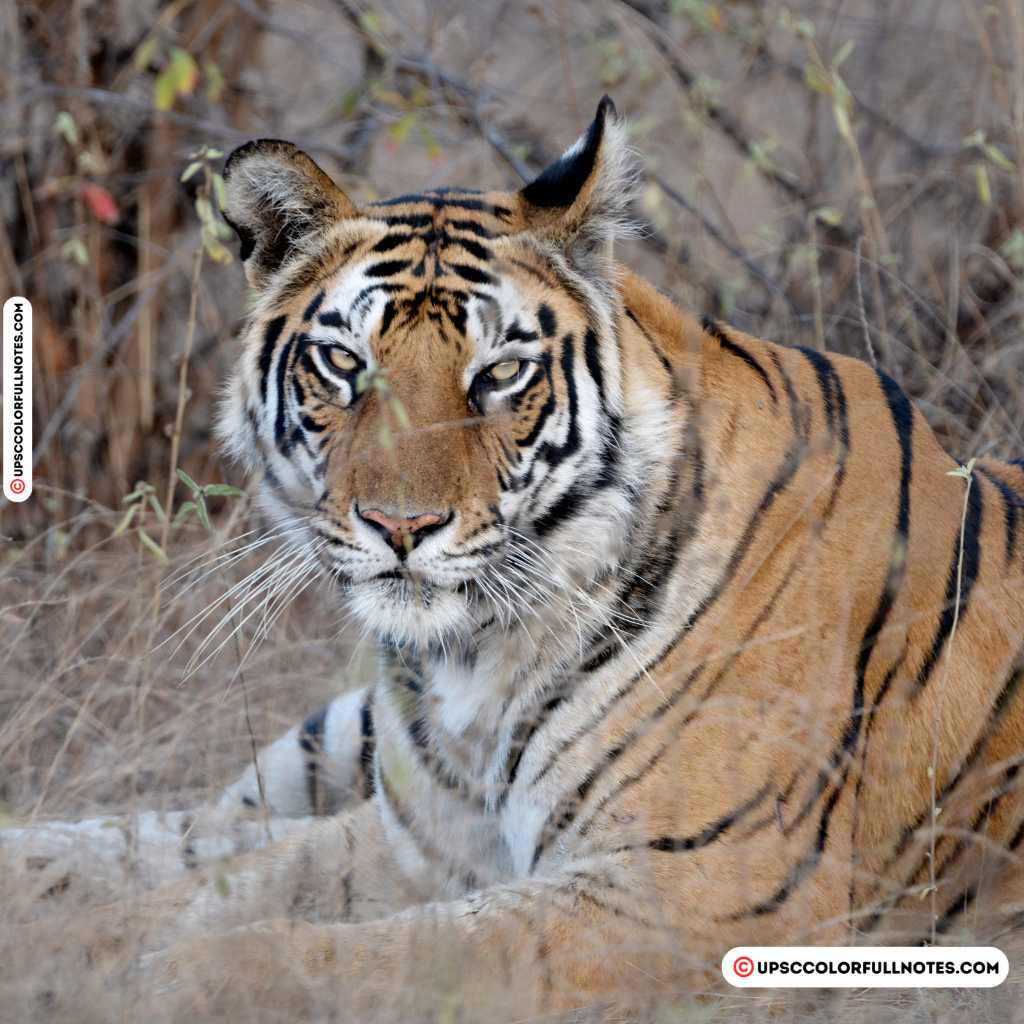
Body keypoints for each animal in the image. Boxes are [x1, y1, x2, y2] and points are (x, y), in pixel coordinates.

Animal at [19, 96, 1024, 1018]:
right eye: (344, 364)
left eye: (500, 374)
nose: (402, 525)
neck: (473, 662)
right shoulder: (420, 838)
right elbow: (229, 885)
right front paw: (69, 945)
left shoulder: (709, 889)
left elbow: (375, 953)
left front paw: (155, 983)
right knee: (206, 822)